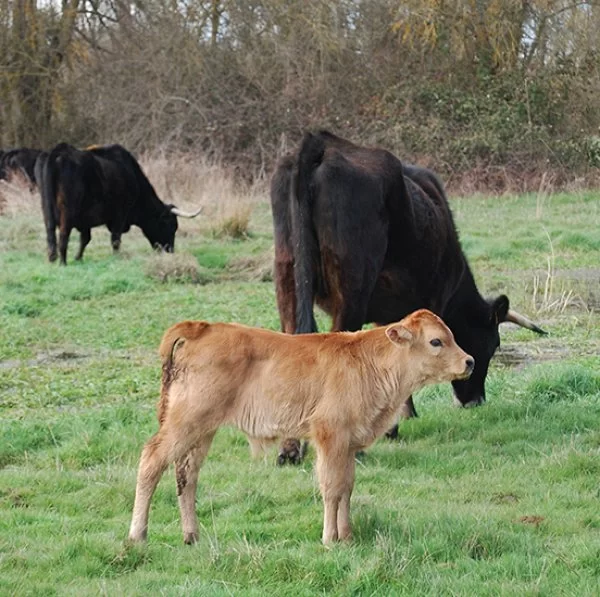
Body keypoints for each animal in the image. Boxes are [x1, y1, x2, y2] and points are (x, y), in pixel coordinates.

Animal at [40, 142, 204, 264]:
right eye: (169, 225)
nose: (170, 251)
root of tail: (61, 151)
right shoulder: (120, 214)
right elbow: (115, 239)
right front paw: (116, 258)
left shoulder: (85, 219)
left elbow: (85, 239)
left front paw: (78, 258)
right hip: (68, 212)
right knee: (63, 235)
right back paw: (63, 262)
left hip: (47, 210)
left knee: (50, 233)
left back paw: (52, 258)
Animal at [127, 308, 474, 544]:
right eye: (436, 341)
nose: (469, 361)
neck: (370, 363)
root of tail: (203, 328)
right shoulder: (330, 436)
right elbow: (331, 487)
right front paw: (330, 539)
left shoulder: (348, 444)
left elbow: (347, 487)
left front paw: (347, 535)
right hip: (184, 423)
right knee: (151, 461)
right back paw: (137, 535)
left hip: (202, 431)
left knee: (187, 475)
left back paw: (192, 535)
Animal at [274, 132, 548, 466]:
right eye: (493, 345)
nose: (475, 401)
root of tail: (323, 143)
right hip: (352, 287)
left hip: (287, 274)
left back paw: (289, 450)